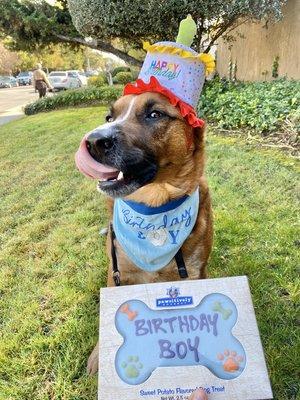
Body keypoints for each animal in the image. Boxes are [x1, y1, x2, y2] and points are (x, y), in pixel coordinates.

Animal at [77, 90, 213, 376]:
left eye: (155, 114)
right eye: (109, 117)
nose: (93, 141)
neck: (154, 211)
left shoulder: (195, 274)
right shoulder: (116, 273)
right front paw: (99, 355)